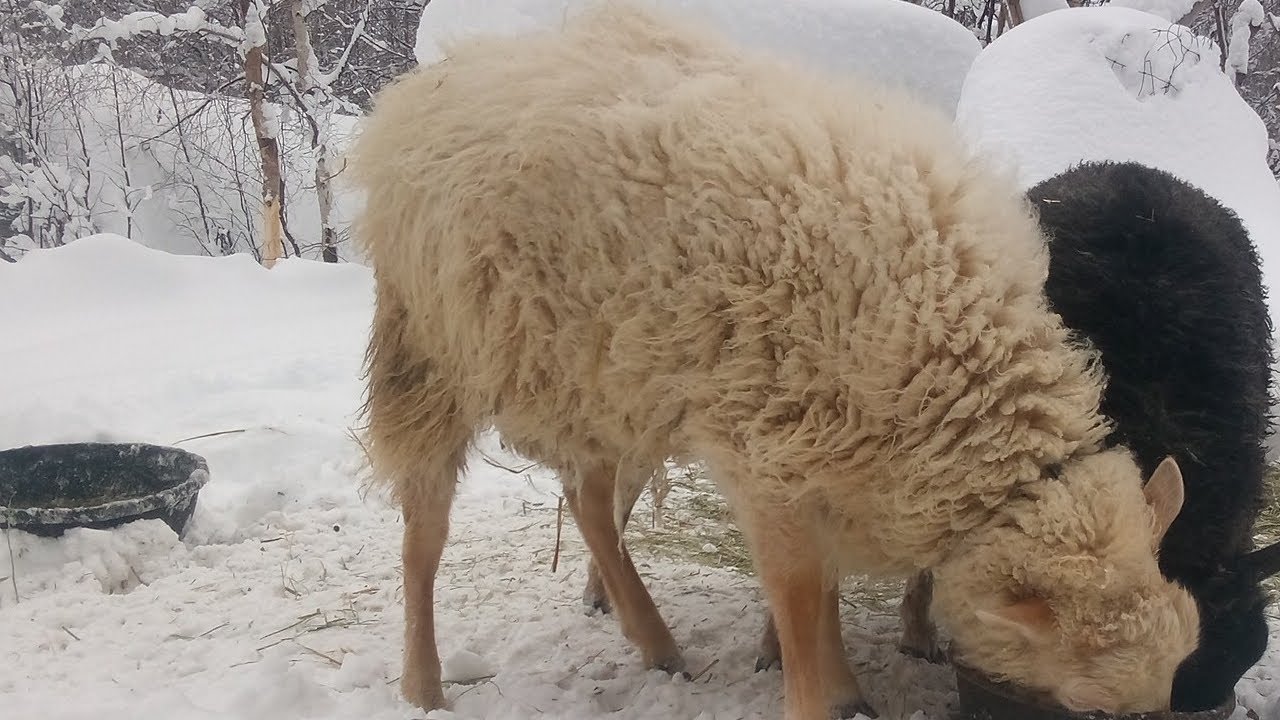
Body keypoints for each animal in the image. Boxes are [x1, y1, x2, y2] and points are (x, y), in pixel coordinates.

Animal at [349, 4, 1199, 719]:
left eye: (1170, 686)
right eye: (1093, 706)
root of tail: (444, 76)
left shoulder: (826, 455)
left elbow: (821, 592)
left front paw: (847, 686)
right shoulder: (769, 455)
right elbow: (797, 594)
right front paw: (819, 690)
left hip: (605, 370)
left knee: (589, 499)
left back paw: (654, 642)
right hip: (429, 349)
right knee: (424, 531)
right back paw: (423, 684)